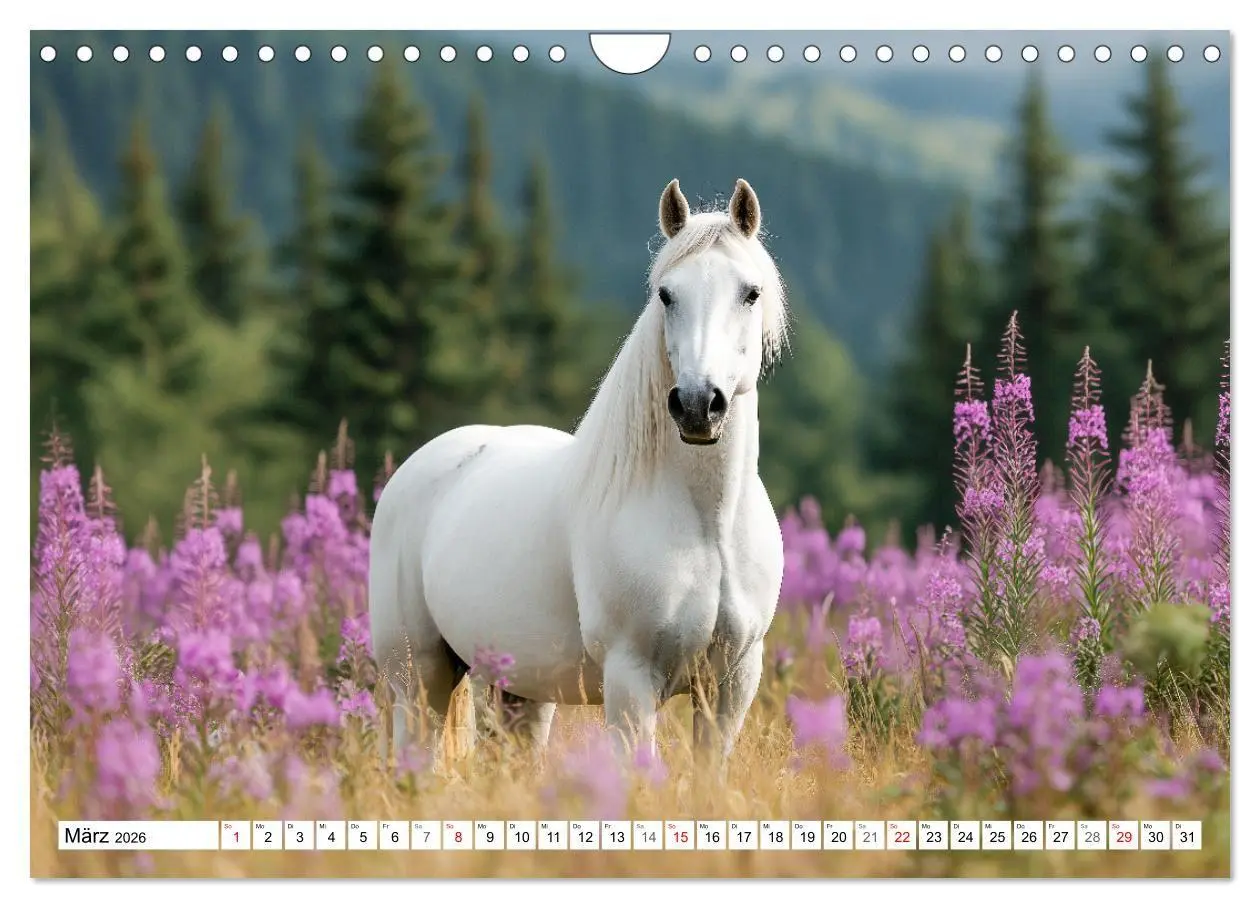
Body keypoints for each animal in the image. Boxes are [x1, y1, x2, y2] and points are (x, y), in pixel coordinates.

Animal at [369, 178, 789, 769]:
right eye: (666, 294)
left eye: (750, 292)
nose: (697, 406)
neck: (707, 526)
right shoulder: (631, 681)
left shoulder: (731, 685)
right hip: (418, 677)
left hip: (520, 689)